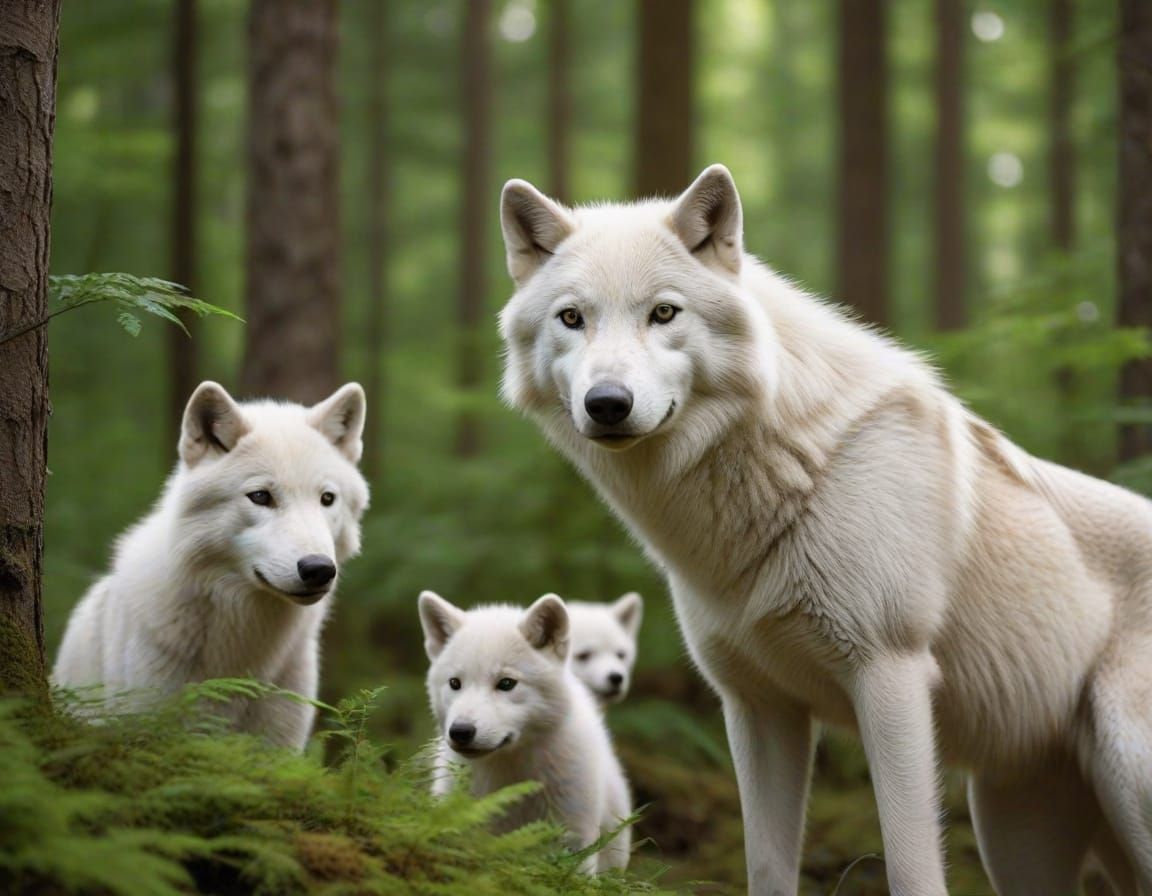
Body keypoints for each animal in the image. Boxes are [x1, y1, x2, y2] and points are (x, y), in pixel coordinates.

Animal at [497, 164, 1152, 895]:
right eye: (572, 318)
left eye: (663, 313)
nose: (607, 404)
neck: (787, 475)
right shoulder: (756, 706)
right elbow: (767, 866)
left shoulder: (891, 677)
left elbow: (911, 868)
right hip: (1015, 836)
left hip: (1121, 783)